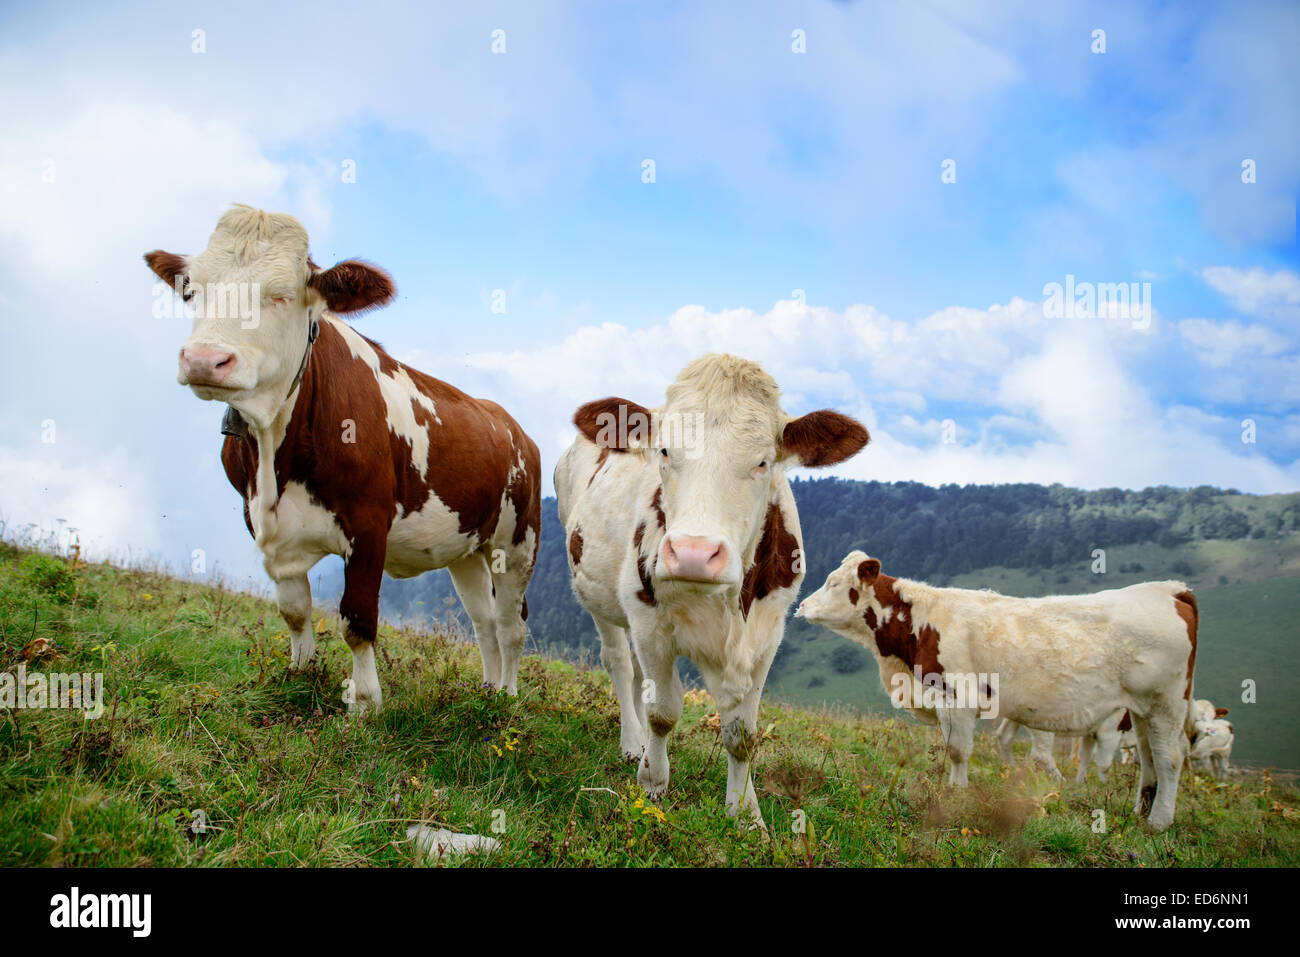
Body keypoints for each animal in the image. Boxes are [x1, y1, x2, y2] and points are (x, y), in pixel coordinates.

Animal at [145, 205, 541, 711]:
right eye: (192, 291)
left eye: (282, 294)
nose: (204, 360)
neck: (273, 454)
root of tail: (511, 425)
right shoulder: (258, 518)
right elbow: (294, 610)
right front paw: (300, 672)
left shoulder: (369, 522)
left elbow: (357, 618)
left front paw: (365, 701)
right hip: (466, 546)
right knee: (484, 620)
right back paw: (486, 694)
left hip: (517, 543)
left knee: (512, 625)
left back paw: (507, 698)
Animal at [554, 354, 869, 828]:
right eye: (665, 452)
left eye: (763, 462)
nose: (693, 554)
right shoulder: (650, 622)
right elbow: (663, 713)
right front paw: (653, 786)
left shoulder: (766, 635)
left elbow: (743, 734)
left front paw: (746, 816)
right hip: (598, 596)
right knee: (620, 664)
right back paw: (631, 743)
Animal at [797, 552, 1199, 831]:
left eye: (834, 584)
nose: (801, 605)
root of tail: (1168, 589)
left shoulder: (957, 697)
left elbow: (958, 751)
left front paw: (956, 792)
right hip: (1143, 710)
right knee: (1149, 756)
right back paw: (1141, 809)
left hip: (1166, 704)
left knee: (1170, 757)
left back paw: (1158, 821)